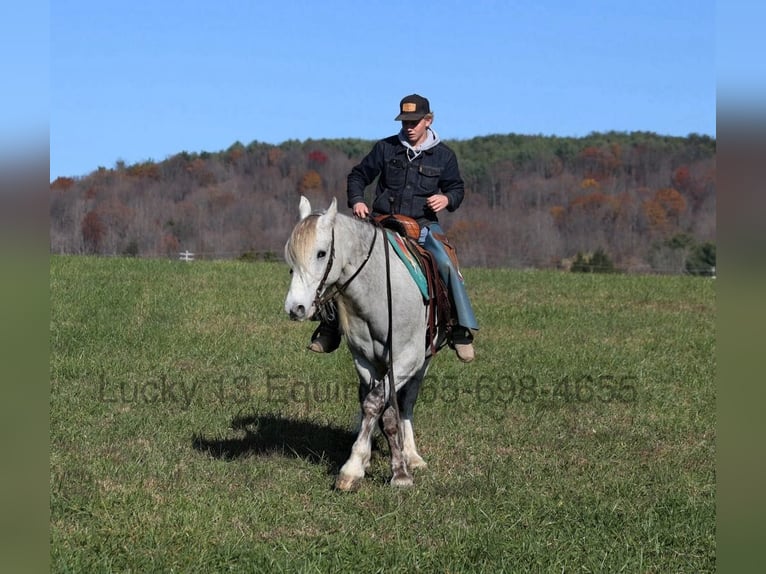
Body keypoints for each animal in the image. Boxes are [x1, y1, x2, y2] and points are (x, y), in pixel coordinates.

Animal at [284, 195, 445, 490]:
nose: (295, 308)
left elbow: (385, 406)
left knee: (406, 403)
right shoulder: (364, 359)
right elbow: (374, 406)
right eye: (291, 257)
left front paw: (397, 471)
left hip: (422, 363)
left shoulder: (406, 359)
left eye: (321, 253)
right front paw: (360, 463)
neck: (379, 291)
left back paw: (412, 455)